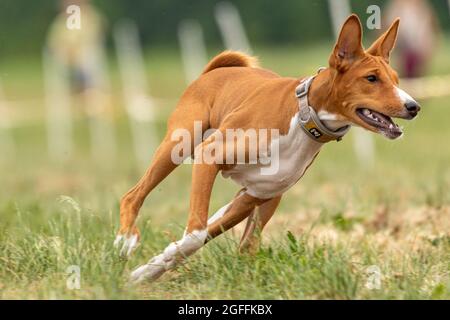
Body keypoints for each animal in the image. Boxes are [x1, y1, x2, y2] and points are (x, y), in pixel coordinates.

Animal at [113, 15, 422, 282]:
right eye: (371, 78)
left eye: (396, 79)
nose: (413, 106)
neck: (303, 119)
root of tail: (216, 70)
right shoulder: (210, 156)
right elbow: (195, 234)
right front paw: (148, 267)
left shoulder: (259, 195)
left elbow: (228, 243)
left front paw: (148, 270)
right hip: (179, 144)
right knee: (132, 195)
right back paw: (125, 240)